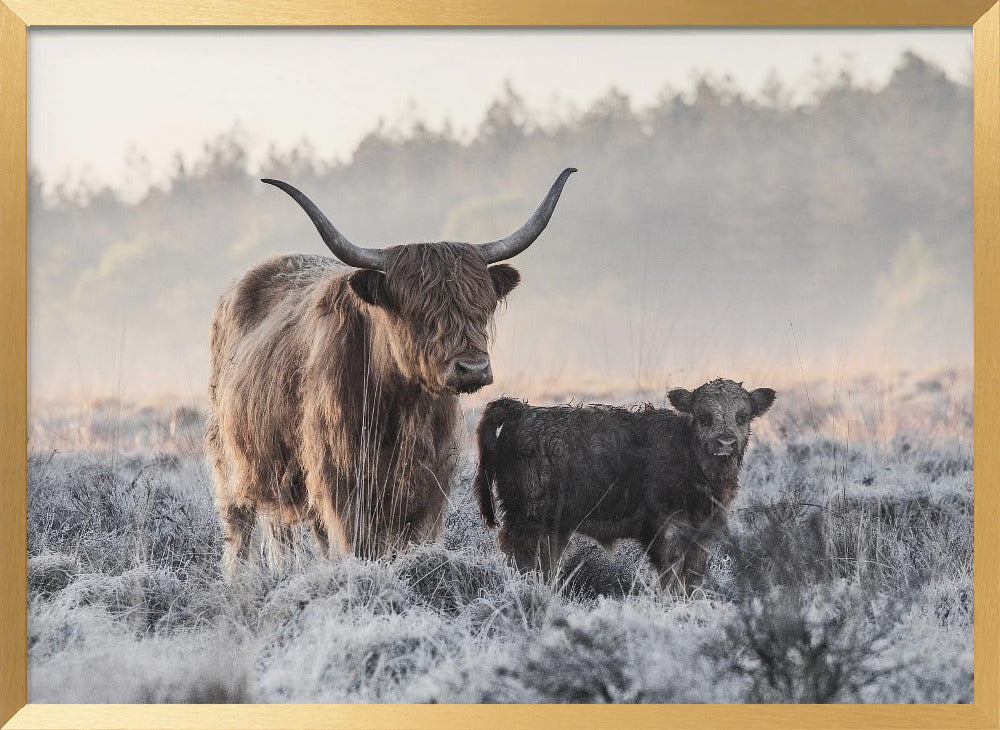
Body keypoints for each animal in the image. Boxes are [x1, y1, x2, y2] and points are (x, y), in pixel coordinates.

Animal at [206, 168, 576, 575]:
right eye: (419, 312)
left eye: (482, 307)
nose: (473, 368)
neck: (402, 408)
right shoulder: (341, 484)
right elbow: (357, 546)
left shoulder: (431, 488)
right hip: (231, 463)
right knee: (241, 530)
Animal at [473, 379, 776, 593]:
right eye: (703, 416)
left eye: (743, 416)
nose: (725, 442)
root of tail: (522, 411)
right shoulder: (666, 529)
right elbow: (671, 574)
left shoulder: (702, 532)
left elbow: (693, 577)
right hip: (527, 519)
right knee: (522, 560)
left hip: (554, 528)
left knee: (545, 564)